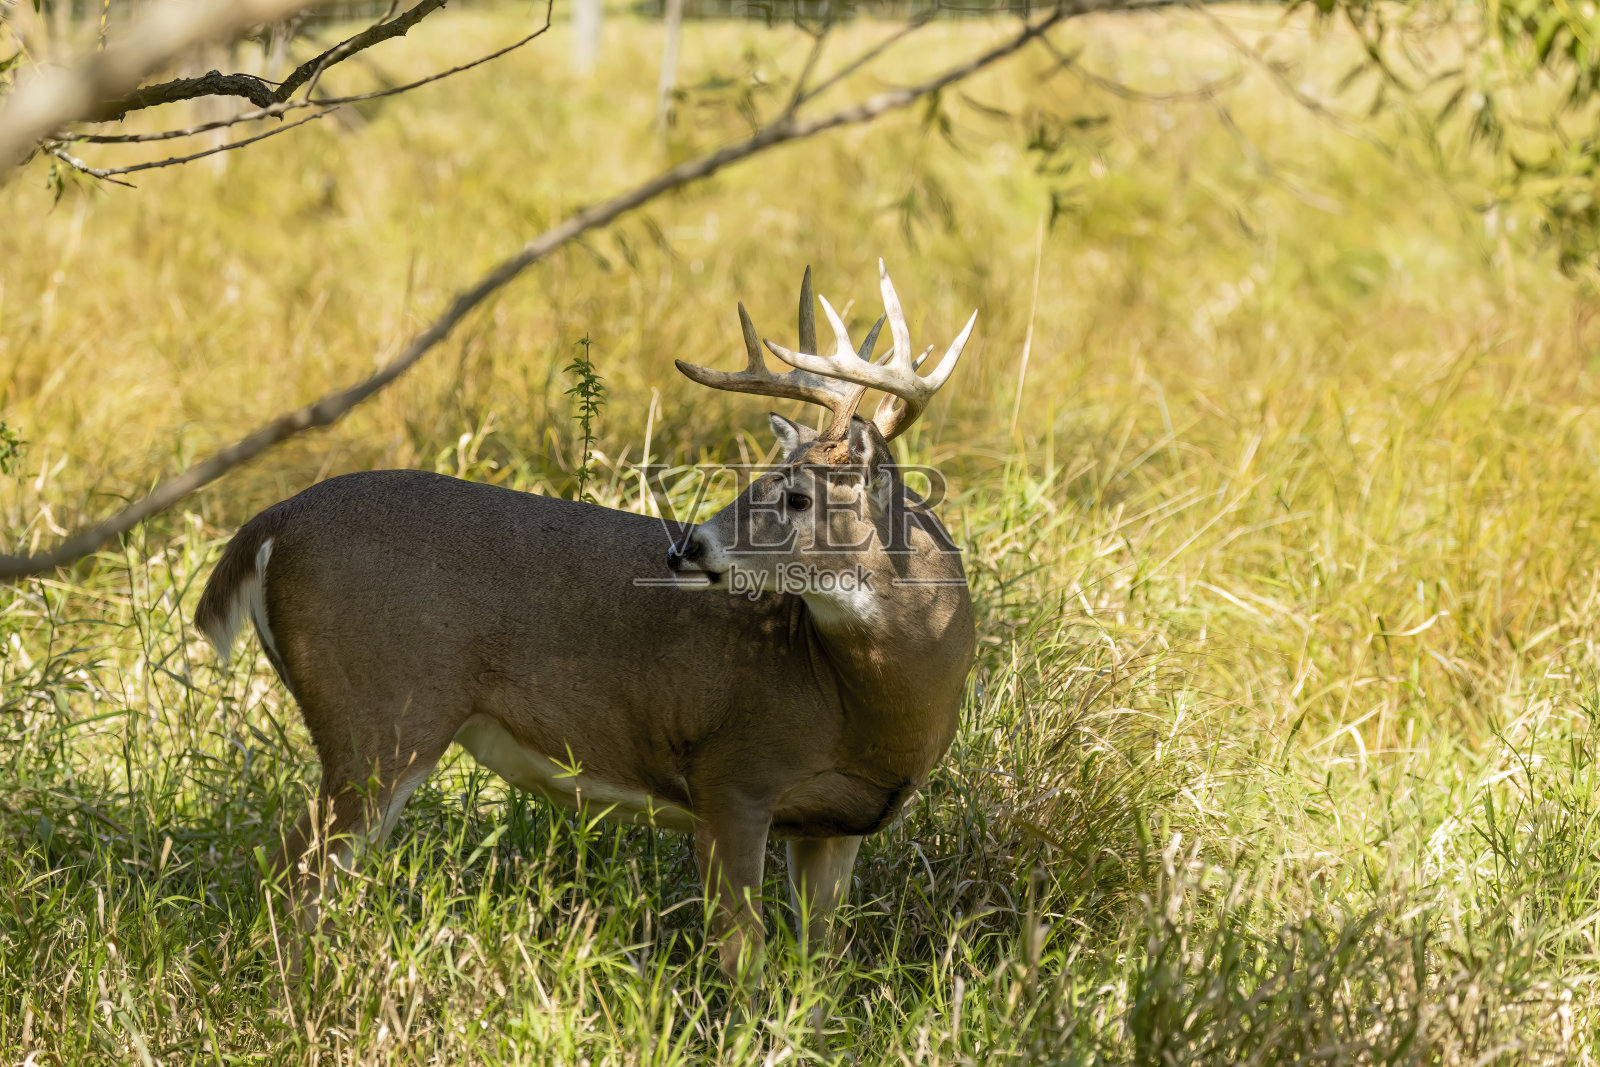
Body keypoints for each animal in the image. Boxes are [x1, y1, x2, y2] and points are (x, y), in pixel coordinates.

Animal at [195, 261, 978, 983]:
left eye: (794, 495)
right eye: (760, 478)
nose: (686, 547)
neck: (867, 708)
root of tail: (271, 523)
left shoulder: (839, 823)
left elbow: (822, 964)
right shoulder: (731, 775)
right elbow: (742, 957)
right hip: (378, 712)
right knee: (290, 876)